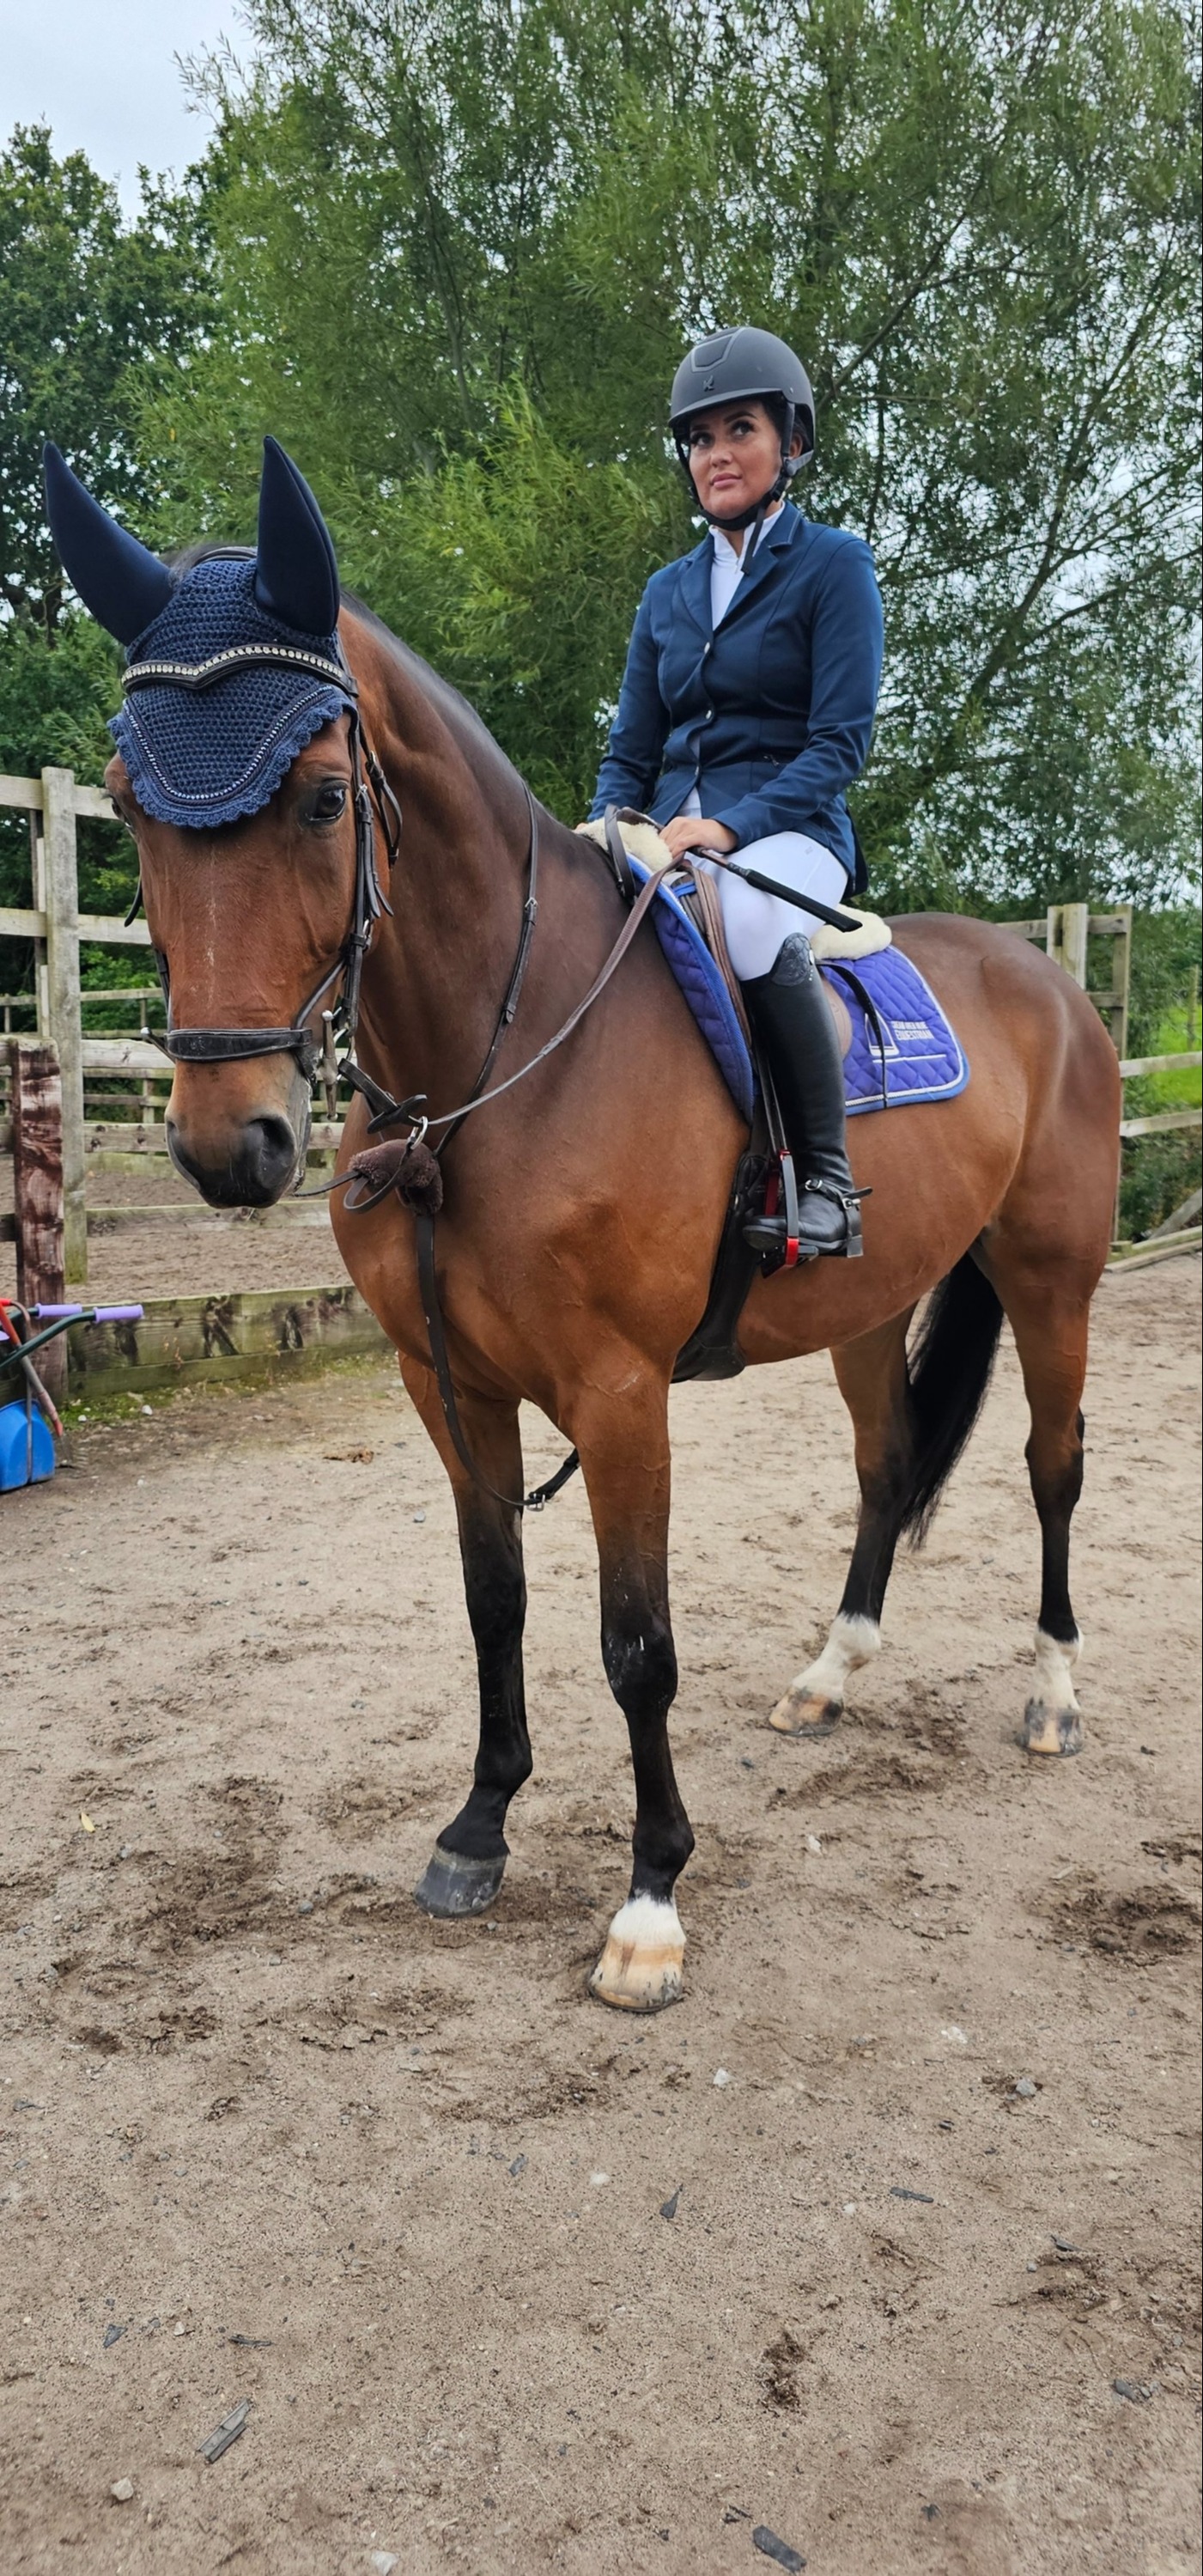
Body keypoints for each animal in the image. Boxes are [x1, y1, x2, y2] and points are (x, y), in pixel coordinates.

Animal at [58, 446, 1121, 2013]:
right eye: (130, 800)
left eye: (322, 796)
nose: (225, 1142)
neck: (496, 1065)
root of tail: (1047, 976)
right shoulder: (446, 1382)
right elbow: (493, 1597)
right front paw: (478, 1825)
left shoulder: (621, 1395)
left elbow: (635, 1645)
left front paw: (649, 1902)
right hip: (870, 1306)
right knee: (882, 1466)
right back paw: (829, 1672)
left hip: (1052, 1281)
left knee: (1053, 1468)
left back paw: (1052, 1693)